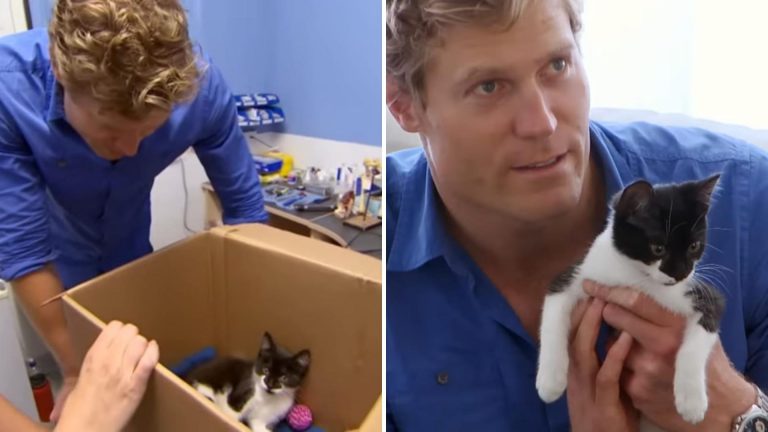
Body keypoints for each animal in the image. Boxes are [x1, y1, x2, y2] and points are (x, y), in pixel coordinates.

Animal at [536, 175, 724, 428]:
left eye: (694, 246)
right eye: (658, 248)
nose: (680, 274)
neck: (636, 275)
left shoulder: (705, 295)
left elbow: (697, 341)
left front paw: (691, 401)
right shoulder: (577, 275)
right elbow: (552, 317)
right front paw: (550, 380)